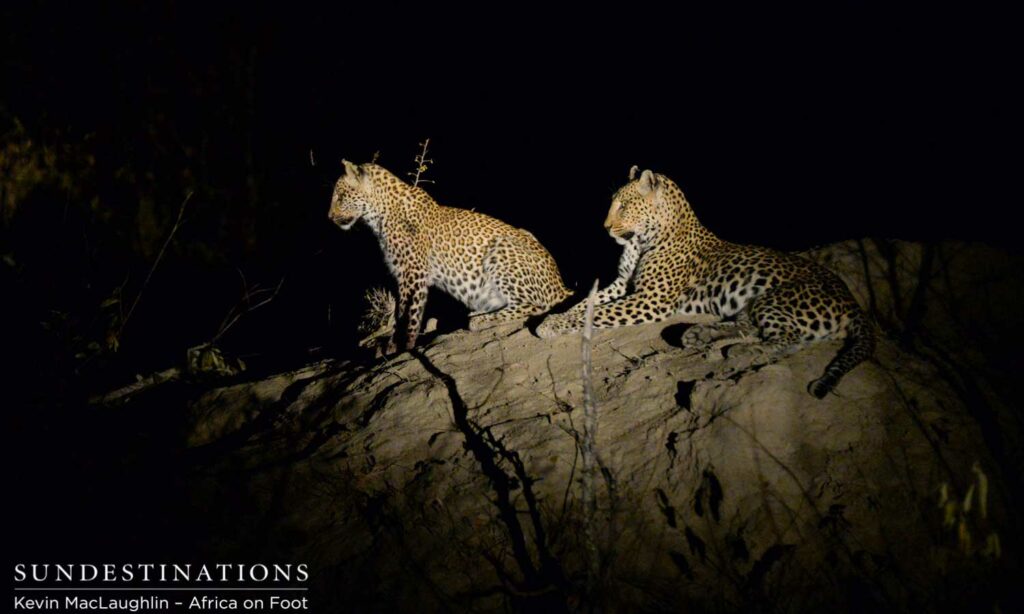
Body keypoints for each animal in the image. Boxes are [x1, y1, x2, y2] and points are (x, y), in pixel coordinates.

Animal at [329, 160, 571, 354]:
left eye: (340, 196)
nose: (329, 217)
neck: (379, 214)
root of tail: (560, 285)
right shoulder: (402, 275)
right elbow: (400, 311)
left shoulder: (413, 274)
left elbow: (408, 314)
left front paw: (402, 347)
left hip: (500, 250)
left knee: (537, 305)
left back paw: (479, 320)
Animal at [536, 166, 875, 398]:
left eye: (625, 205)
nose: (605, 227)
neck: (641, 241)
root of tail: (851, 301)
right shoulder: (621, 284)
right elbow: (586, 302)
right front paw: (556, 316)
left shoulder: (650, 299)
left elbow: (599, 311)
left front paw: (551, 324)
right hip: (754, 304)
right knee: (750, 326)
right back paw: (699, 335)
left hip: (776, 298)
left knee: (790, 339)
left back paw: (743, 352)